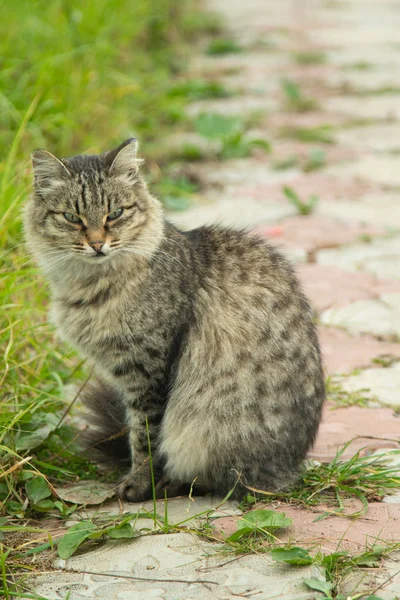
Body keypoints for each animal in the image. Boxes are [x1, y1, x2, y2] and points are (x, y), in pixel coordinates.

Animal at [23, 139, 324, 502]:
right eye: (72, 217)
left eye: (115, 214)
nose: (97, 244)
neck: (88, 286)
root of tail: (292, 466)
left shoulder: (149, 370)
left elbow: (144, 438)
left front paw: (139, 486)